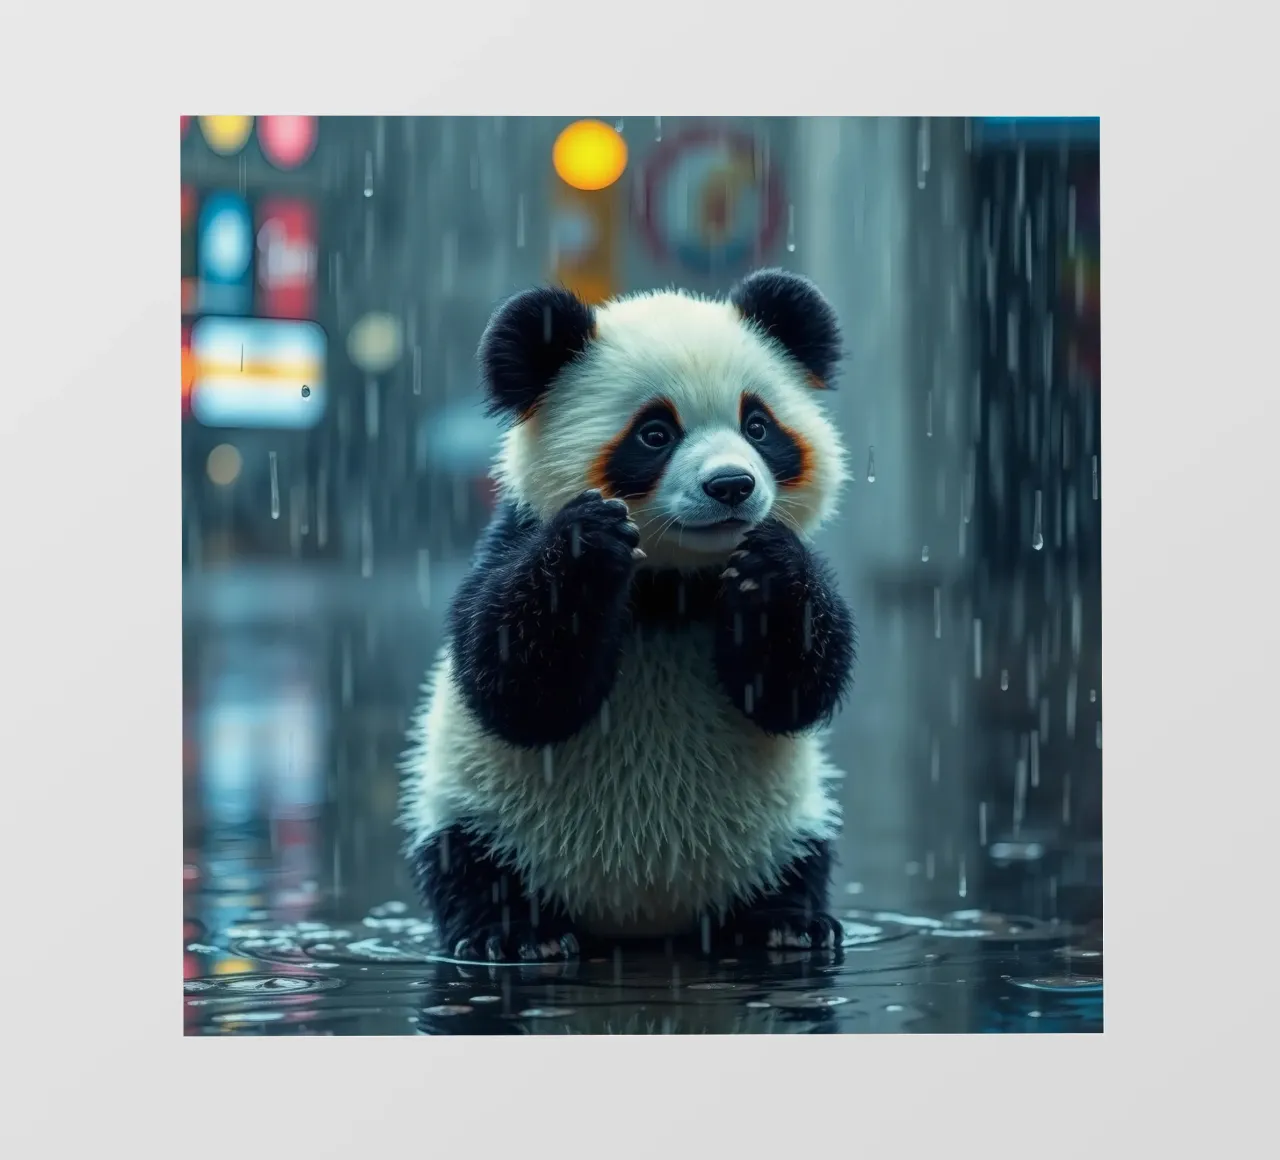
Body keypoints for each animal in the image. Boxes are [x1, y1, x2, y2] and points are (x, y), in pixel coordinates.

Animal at [399, 268, 857, 963]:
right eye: (655, 433)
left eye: (757, 425)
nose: (732, 486)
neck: (674, 585)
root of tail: (640, 920)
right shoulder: (509, 541)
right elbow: (512, 684)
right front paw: (587, 546)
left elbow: (793, 692)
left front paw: (772, 567)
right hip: (483, 813)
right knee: (470, 866)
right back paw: (516, 936)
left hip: (779, 825)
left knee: (800, 860)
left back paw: (784, 925)